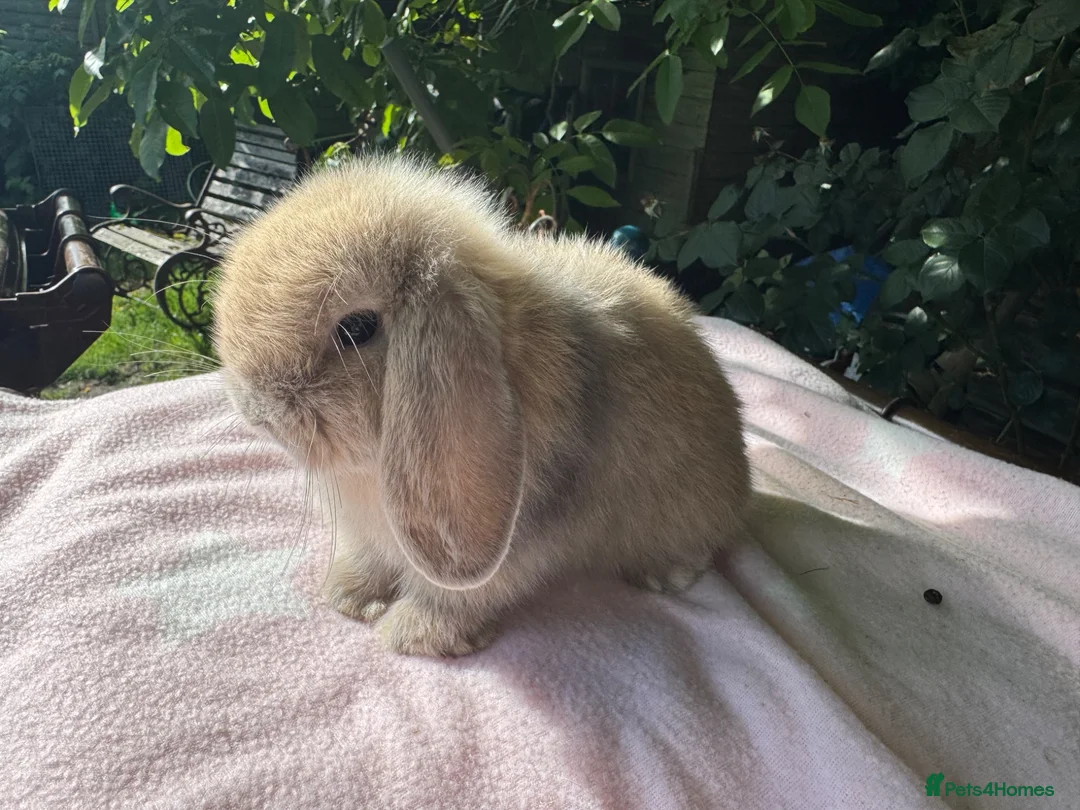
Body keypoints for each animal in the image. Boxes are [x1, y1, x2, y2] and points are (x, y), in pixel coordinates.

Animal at [212, 153, 750, 657]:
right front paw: (349, 597)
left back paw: (663, 574)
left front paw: (414, 635)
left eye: (357, 329)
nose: (256, 411)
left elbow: (457, 596)